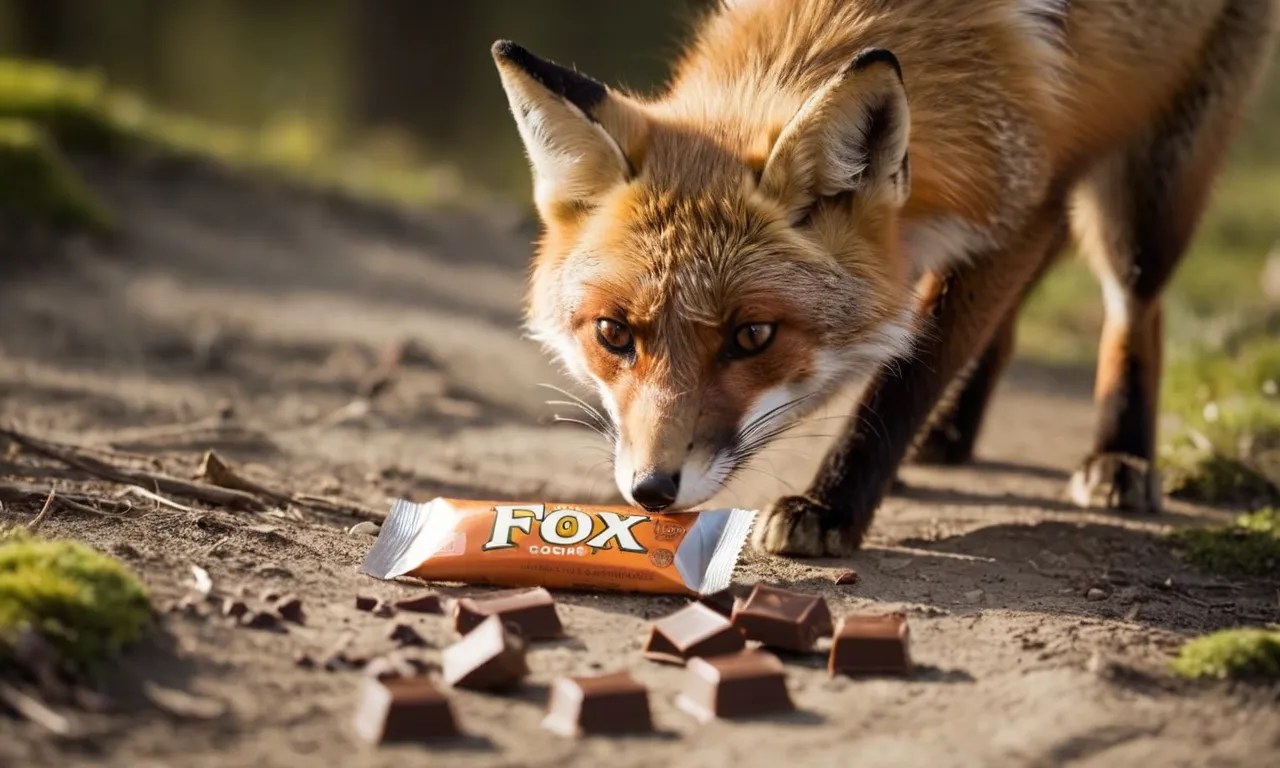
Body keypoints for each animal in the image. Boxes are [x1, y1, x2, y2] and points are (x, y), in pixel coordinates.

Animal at [490, 0, 1280, 556]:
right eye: (612, 334)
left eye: (753, 336)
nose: (652, 490)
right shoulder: (1003, 214)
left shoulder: (1018, 208)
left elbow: (907, 376)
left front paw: (834, 505)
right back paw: (954, 431)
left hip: (1149, 196)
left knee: (1136, 303)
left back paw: (1120, 453)